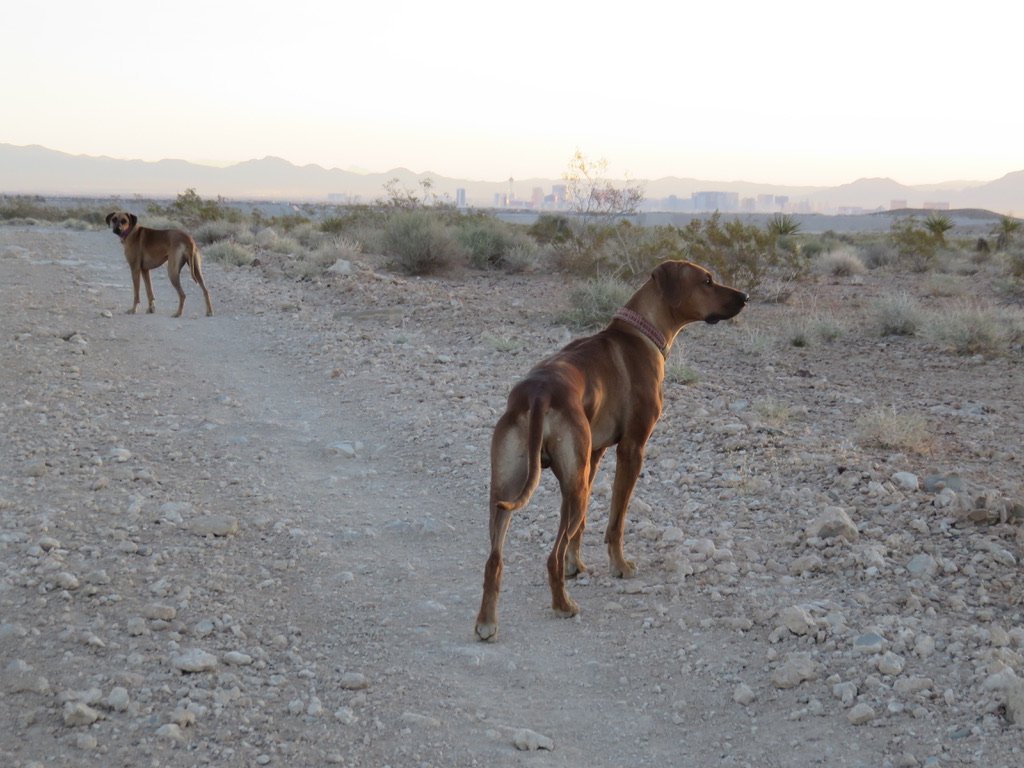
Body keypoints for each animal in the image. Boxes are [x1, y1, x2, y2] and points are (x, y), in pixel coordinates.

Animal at [475, 262, 749, 638]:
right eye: (707, 281)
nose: (745, 297)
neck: (641, 331)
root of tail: (538, 393)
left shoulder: (594, 455)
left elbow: (583, 526)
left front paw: (577, 564)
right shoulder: (632, 450)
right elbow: (616, 520)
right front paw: (619, 566)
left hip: (512, 488)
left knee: (495, 558)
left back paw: (487, 622)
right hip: (570, 487)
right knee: (551, 555)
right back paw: (563, 606)